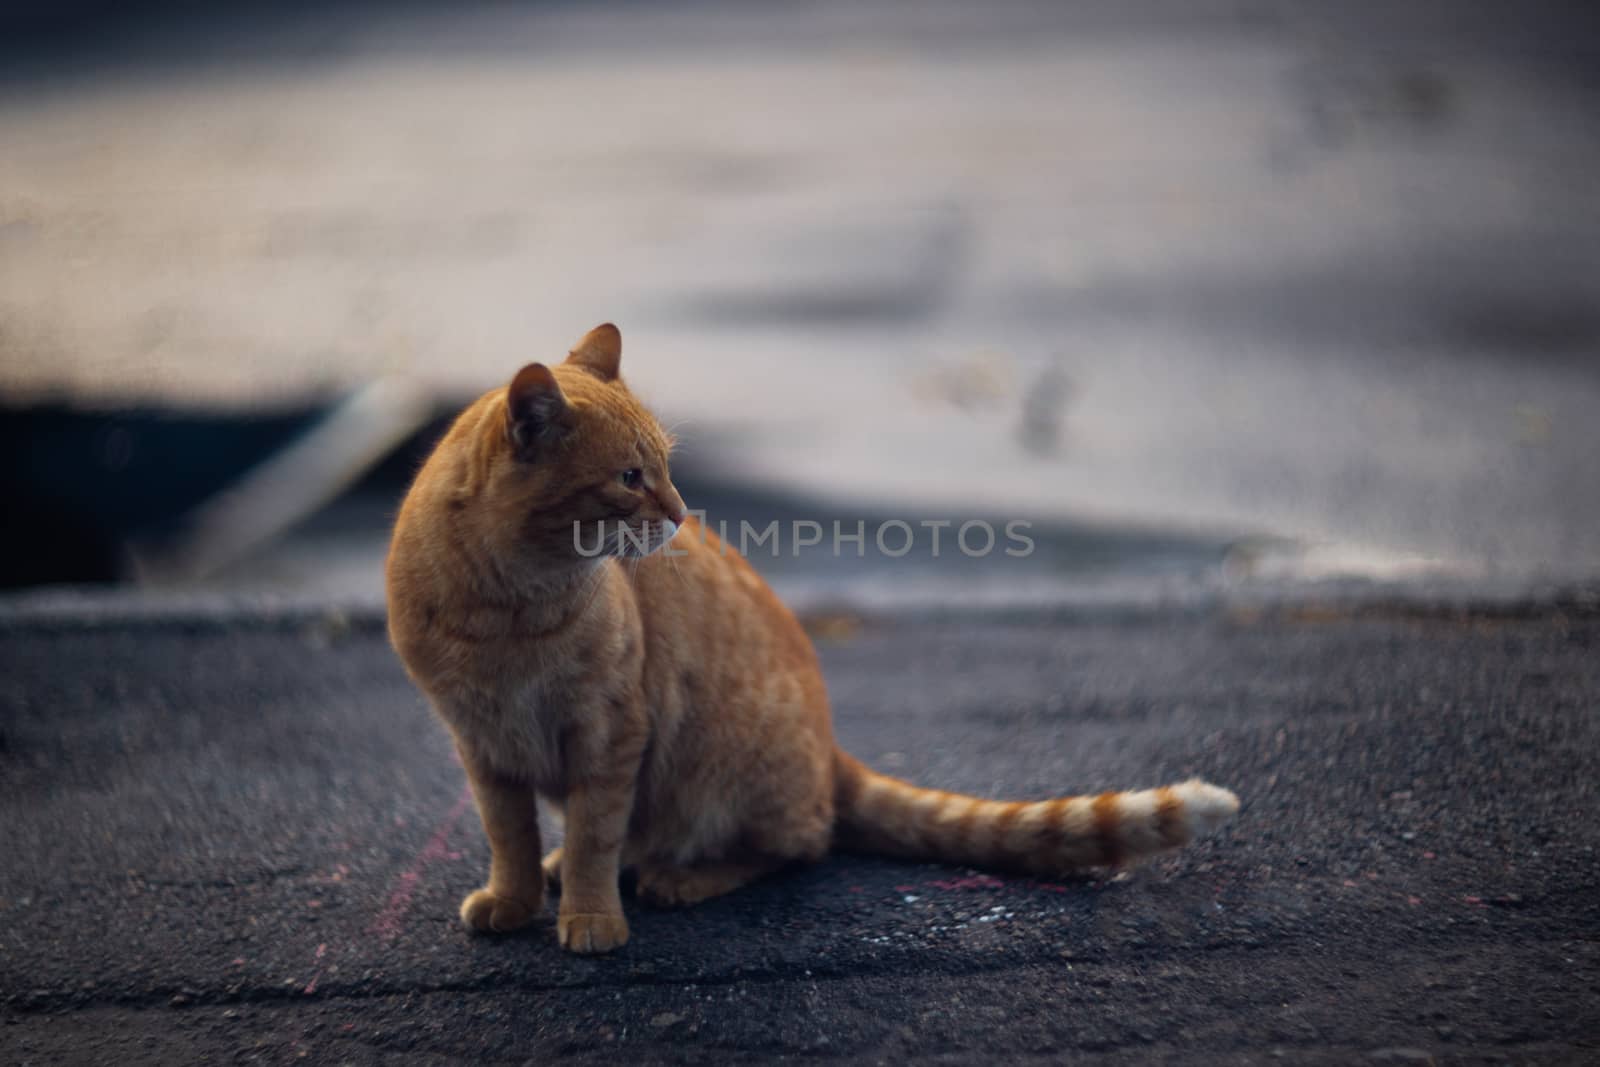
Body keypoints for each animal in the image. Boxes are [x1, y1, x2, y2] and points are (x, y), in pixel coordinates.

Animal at [384, 323, 1235, 953]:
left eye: (666, 464)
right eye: (629, 477)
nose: (681, 511)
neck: (510, 609)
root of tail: (830, 750)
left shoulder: (609, 732)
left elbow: (597, 830)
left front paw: (591, 916)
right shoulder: (481, 743)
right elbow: (510, 835)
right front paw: (516, 896)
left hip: (730, 766)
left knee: (798, 843)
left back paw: (681, 875)